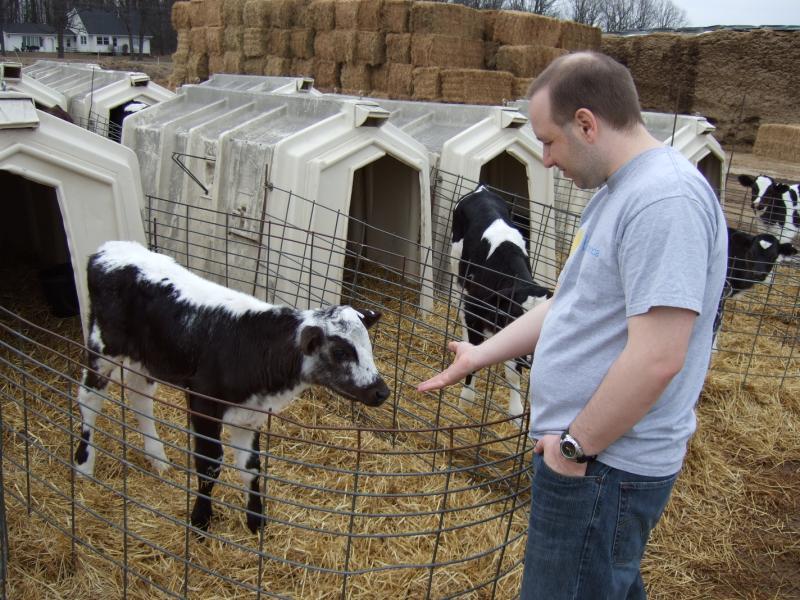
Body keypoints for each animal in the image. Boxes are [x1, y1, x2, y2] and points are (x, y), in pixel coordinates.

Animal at [74, 240, 389, 533]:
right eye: (341, 352)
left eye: (368, 347)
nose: (381, 391)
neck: (255, 348)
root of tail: (108, 249)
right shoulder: (203, 403)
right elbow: (210, 465)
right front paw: (200, 521)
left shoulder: (250, 414)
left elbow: (251, 468)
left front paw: (256, 521)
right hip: (103, 346)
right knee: (89, 400)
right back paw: (83, 465)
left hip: (148, 357)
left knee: (140, 396)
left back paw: (158, 458)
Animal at [450, 186, 552, 427]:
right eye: (515, 317)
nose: (531, 357)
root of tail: (482, 189)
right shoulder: (474, 310)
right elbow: (473, 354)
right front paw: (466, 400)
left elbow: (513, 372)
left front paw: (517, 412)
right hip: (456, 267)